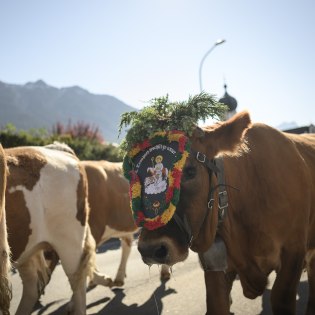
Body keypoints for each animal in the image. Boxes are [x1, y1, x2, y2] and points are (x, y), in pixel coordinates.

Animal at [120, 94, 315, 315]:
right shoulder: (215, 268)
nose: (151, 249)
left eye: (190, 171)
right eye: (132, 176)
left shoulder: (293, 253)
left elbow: (280, 298)